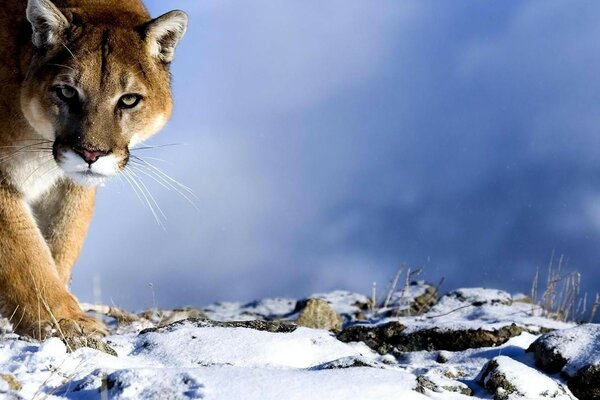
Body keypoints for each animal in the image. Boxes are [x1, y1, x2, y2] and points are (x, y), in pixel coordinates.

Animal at [0, 0, 186, 340]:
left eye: (129, 100)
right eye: (67, 92)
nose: (91, 153)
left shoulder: (69, 184)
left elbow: (62, 241)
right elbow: (26, 253)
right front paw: (64, 320)